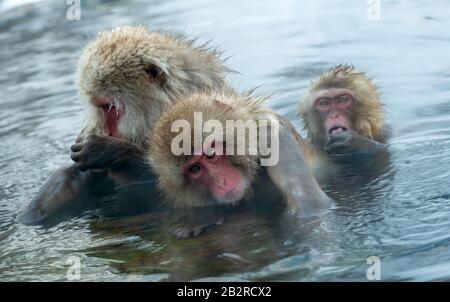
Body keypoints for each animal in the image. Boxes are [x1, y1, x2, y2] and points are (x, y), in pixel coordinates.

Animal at [148, 91, 330, 237]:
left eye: (211, 154)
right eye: (195, 169)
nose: (220, 182)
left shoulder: (271, 136)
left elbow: (311, 205)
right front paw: (202, 218)